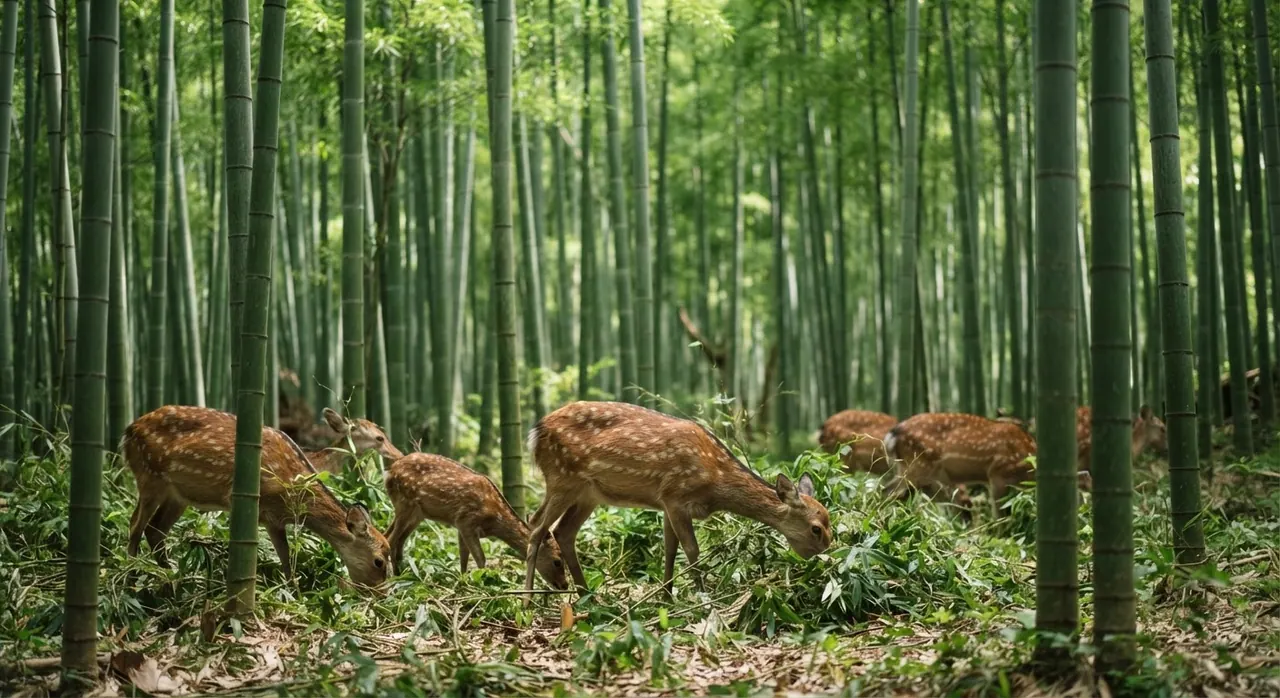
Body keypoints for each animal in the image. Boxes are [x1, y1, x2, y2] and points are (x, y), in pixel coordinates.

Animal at [119, 405, 393, 588]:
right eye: (379, 561)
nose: (380, 594)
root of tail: (128, 431)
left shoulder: (275, 519)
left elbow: (287, 561)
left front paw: (294, 592)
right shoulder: (246, 505)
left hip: (178, 495)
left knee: (156, 529)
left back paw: (174, 576)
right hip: (149, 475)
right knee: (134, 525)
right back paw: (131, 577)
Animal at [383, 453, 569, 590]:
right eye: (557, 561)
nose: (565, 585)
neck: (494, 522)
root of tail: (390, 471)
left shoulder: (461, 525)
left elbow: (463, 557)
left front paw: (463, 582)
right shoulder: (466, 520)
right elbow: (480, 557)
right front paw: (485, 582)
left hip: (416, 514)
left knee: (392, 538)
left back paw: (401, 574)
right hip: (405, 503)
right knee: (390, 539)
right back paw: (391, 579)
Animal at [522, 401, 832, 600]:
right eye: (816, 528)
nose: (827, 558)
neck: (716, 481)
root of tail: (535, 432)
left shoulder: (665, 504)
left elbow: (670, 549)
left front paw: (666, 598)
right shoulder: (675, 496)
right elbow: (692, 550)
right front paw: (703, 598)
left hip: (588, 493)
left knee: (563, 531)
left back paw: (589, 597)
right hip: (562, 478)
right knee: (537, 526)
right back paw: (528, 600)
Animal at [882, 412, 1090, 519]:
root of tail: (892, 435)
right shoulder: (997, 474)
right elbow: (1000, 515)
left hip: (920, 475)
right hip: (918, 466)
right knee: (887, 491)